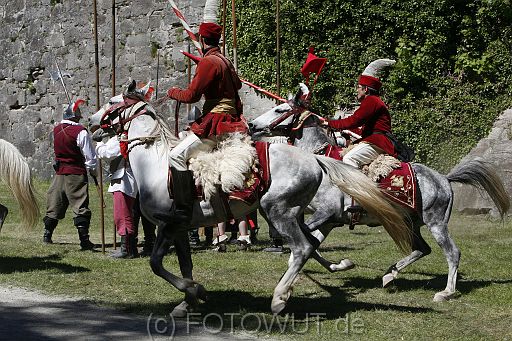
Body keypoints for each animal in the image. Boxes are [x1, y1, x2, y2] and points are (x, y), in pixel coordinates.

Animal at [89, 80, 412, 314]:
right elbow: (184, 265)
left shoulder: (167, 226)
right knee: (311, 242)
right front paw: (188, 299)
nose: (91, 122)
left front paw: (194, 292)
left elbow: (156, 263)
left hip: (278, 211)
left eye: (113, 102)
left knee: (303, 247)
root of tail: (314, 159)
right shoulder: (179, 229)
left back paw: (280, 298)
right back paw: (334, 269)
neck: (154, 164)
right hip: (288, 212)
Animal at [247, 84, 508, 300]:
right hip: (411, 223)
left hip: (437, 223)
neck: (320, 162)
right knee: (422, 249)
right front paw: (339, 265)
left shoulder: (326, 214)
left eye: (279, 109)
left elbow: (307, 242)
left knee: (452, 253)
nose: (251, 125)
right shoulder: (329, 220)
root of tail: (444, 178)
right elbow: (311, 245)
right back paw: (389, 275)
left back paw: (446, 292)